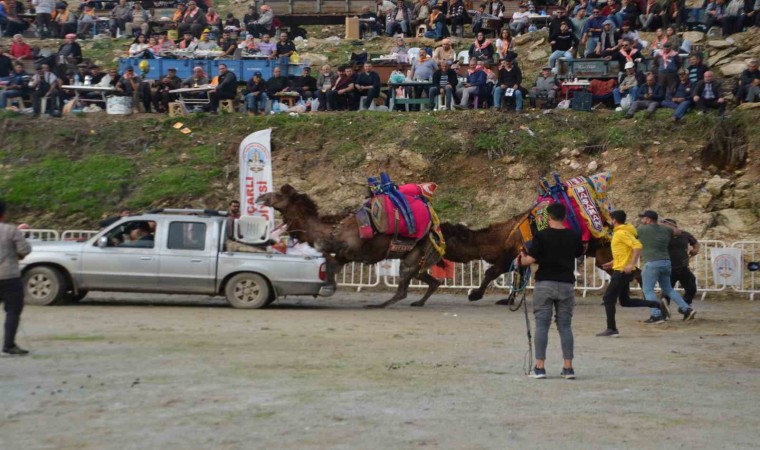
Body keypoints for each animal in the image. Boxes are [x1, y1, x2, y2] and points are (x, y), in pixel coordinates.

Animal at [258, 185, 442, 308]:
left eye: (278, 194)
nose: (260, 197)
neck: (332, 230)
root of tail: (433, 232)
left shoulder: (349, 252)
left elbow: (331, 264)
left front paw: (328, 286)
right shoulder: (342, 254)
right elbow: (329, 260)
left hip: (413, 256)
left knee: (404, 285)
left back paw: (377, 305)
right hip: (417, 260)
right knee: (431, 280)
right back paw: (418, 302)